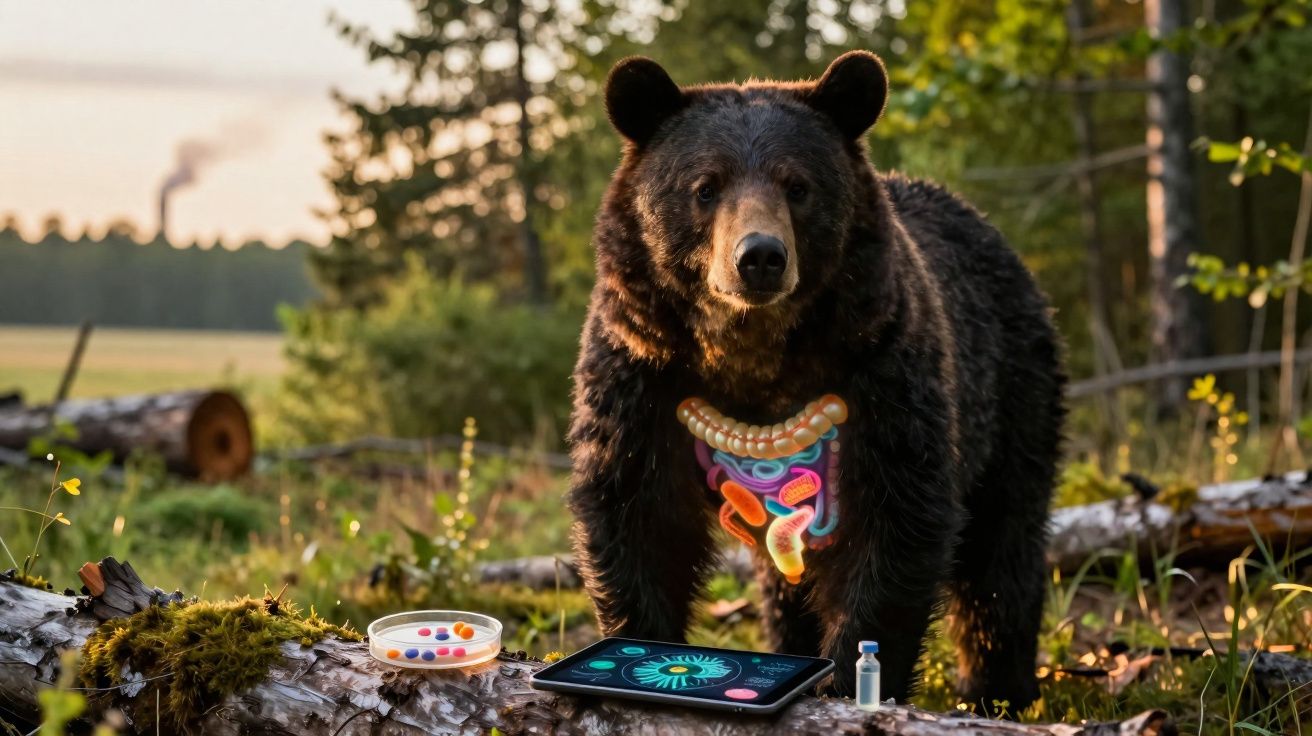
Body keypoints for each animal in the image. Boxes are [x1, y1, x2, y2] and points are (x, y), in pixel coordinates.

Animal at [566, 50, 1064, 712]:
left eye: (797, 185)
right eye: (706, 186)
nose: (759, 257)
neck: (752, 356)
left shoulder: (882, 369)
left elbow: (897, 519)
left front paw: (848, 679)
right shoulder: (641, 371)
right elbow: (635, 513)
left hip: (1013, 388)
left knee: (1002, 544)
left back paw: (997, 688)